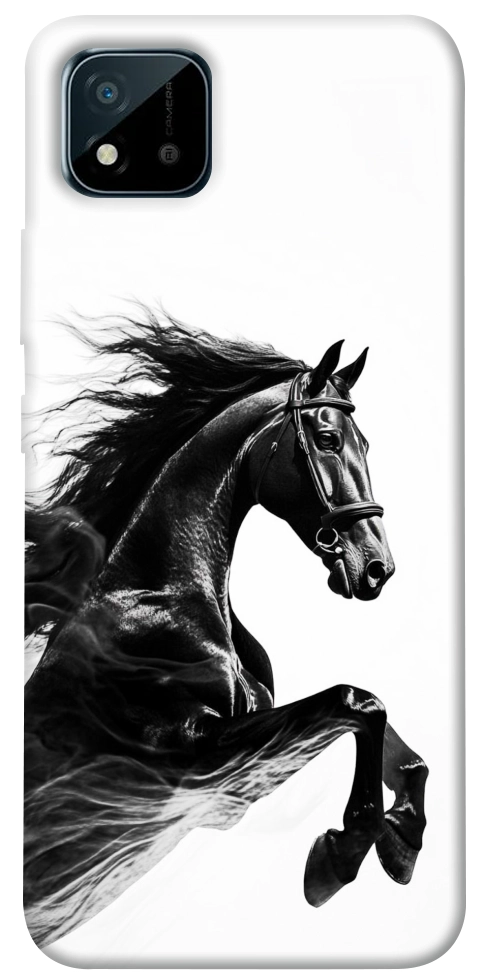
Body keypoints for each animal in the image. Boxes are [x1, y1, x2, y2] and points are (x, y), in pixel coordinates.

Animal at [24, 314, 428, 949]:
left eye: (364, 443)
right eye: (327, 439)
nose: (376, 568)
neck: (161, 599)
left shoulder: (237, 776)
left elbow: (389, 737)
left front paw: (402, 841)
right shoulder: (194, 760)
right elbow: (356, 703)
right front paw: (339, 857)